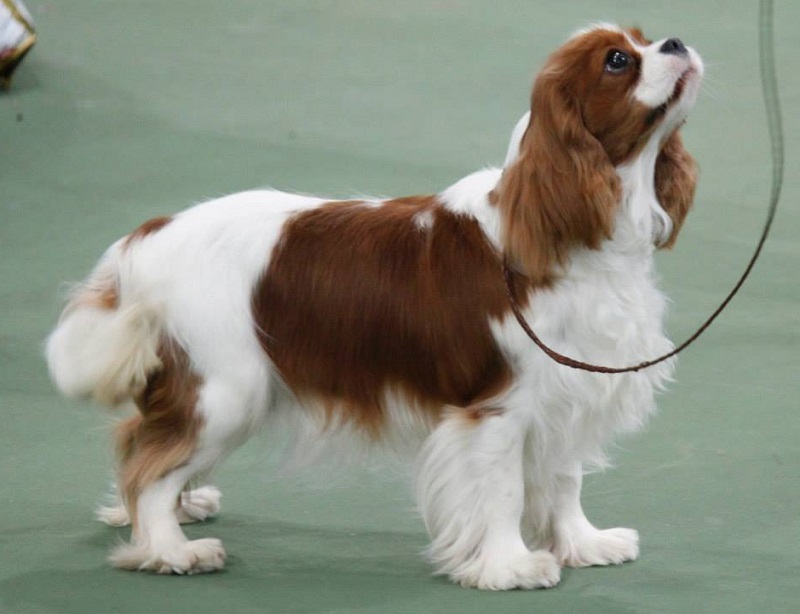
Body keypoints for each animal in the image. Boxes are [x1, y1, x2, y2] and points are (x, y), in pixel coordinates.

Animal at [47, 25, 704, 592]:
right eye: (618, 61)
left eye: (644, 38)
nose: (676, 41)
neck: (571, 229)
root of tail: (143, 240)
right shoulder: (496, 405)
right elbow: (503, 491)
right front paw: (510, 567)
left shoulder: (569, 385)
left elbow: (565, 480)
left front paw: (584, 544)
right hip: (227, 393)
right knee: (149, 470)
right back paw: (170, 549)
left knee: (142, 440)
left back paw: (184, 512)